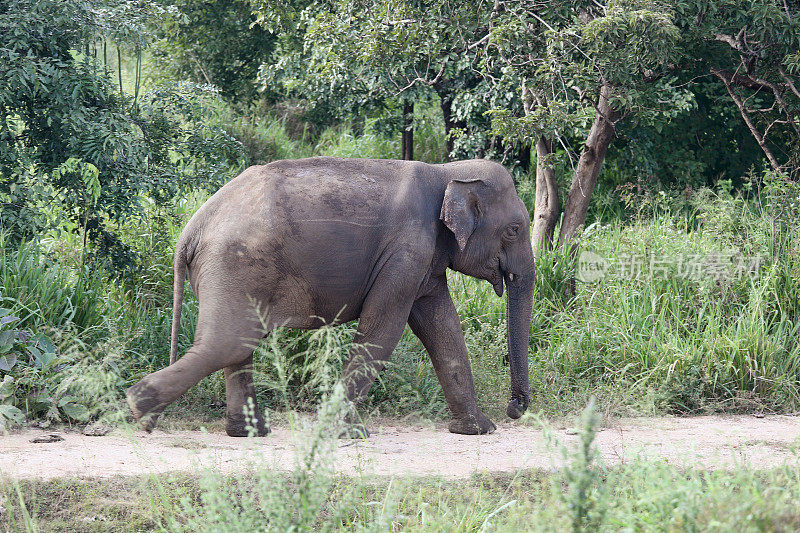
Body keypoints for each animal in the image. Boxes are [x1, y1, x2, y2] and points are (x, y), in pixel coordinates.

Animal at [128, 155, 536, 436]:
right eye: (515, 229)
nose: (515, 408)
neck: (446, 170)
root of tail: (192, 228)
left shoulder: (424, 262)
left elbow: (442, 328)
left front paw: (478, 430)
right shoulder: (406, 251)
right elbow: (383, 331)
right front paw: (350, 434)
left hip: (231, 270)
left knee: (236, 344)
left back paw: (248, 433)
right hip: (235, 265)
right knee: (227, 343)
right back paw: (139, 408)